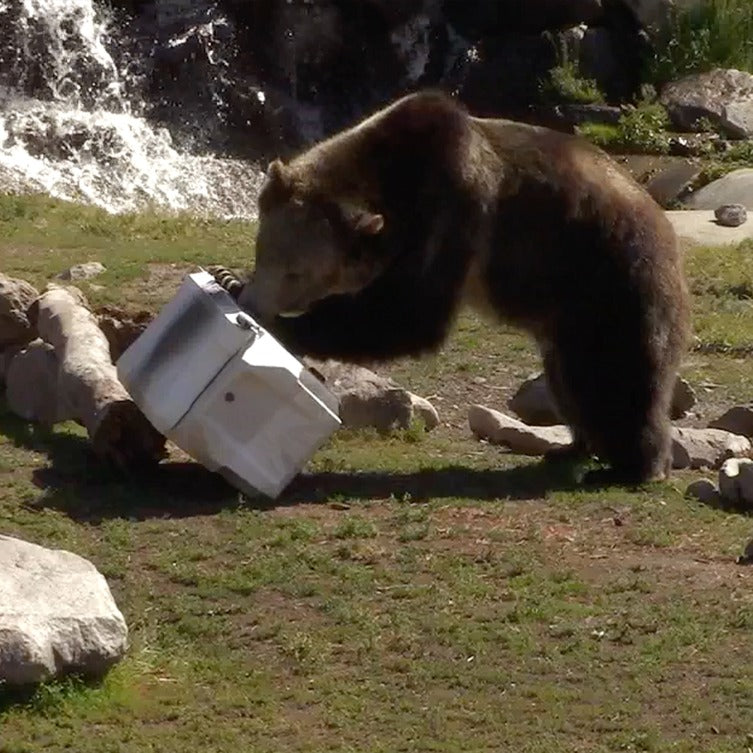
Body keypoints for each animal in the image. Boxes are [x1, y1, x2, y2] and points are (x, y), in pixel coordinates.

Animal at [220, 90, 692, 485]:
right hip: (566, 318)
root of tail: (665, 229)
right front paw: (229, 278)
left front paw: (283, 327)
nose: (255, 302)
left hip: (610, 286)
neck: (394, 182)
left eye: (297, 273)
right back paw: (572, 447)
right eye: (264, 252)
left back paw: (638, 466)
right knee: (567, 383)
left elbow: (409, 312)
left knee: (620, 380)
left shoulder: (455, 206)